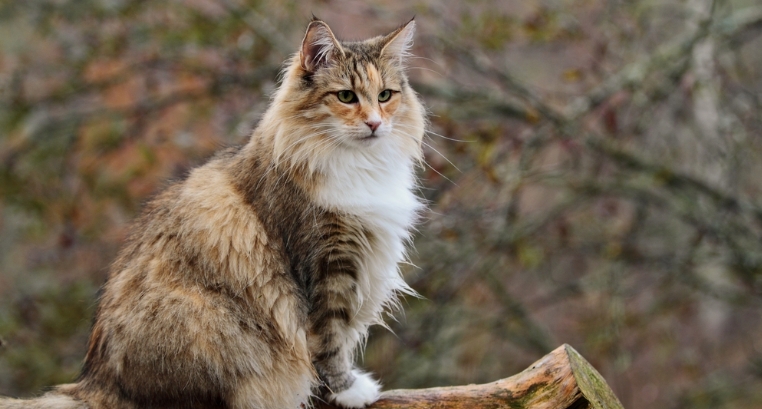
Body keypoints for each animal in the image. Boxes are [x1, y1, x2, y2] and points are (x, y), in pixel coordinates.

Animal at [0, 16, 422, 408]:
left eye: (385, 95)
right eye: (347, 96)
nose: (375, 123)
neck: (358, 166)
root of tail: (97, 384)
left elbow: (341, 341)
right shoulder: (324, 266)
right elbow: (330, 342)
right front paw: (348, 390)